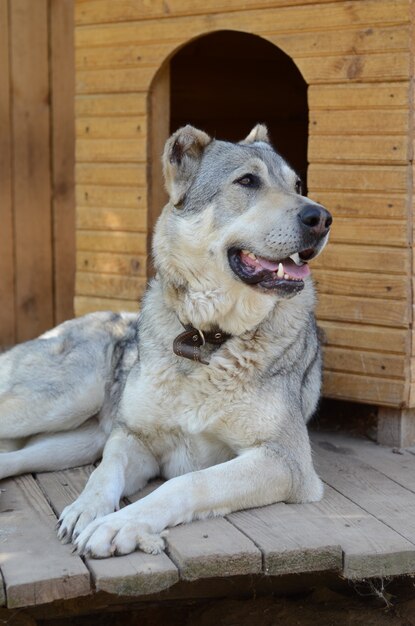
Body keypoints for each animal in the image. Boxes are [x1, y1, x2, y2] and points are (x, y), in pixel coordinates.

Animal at [0, 125, 332, 556]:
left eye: (297, 186)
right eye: (247, 181)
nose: (321, 217)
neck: (208, 336)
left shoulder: (285, 461)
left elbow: (188, 482)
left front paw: (118, 524)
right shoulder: (132, 438)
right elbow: (104, 474)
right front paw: (88, 510)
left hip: (75, 441)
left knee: (14, 458)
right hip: (59, 404)